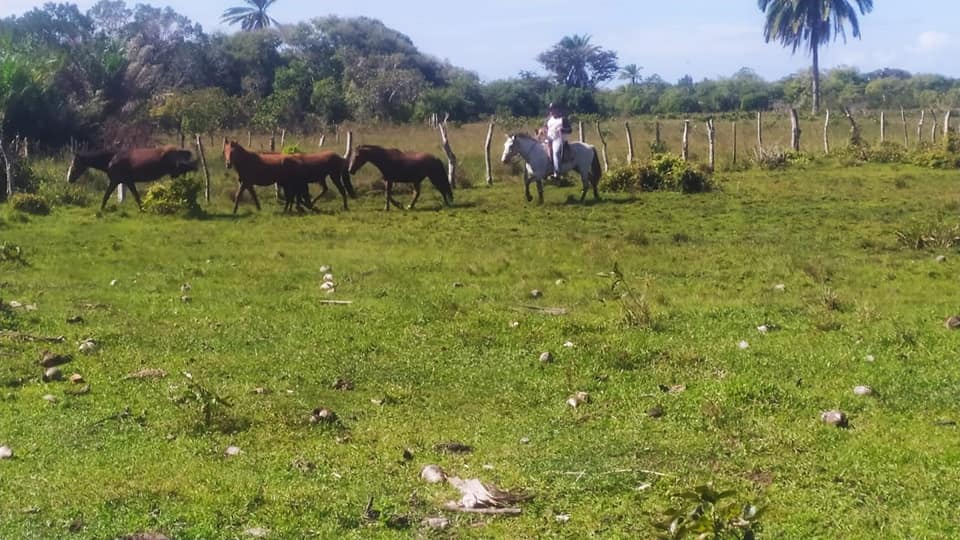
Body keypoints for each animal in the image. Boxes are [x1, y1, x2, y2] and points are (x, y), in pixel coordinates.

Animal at [67, 147, 197, 210]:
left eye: (75, 163)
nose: (69, 178)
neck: (111, 159)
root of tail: (177, 150)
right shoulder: (128, 182)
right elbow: (136, 196)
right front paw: (143, 209)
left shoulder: (115, 181)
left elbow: (106, 195)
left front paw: (101, 209)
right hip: (175, 171)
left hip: (176, 168)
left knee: (192, 166)